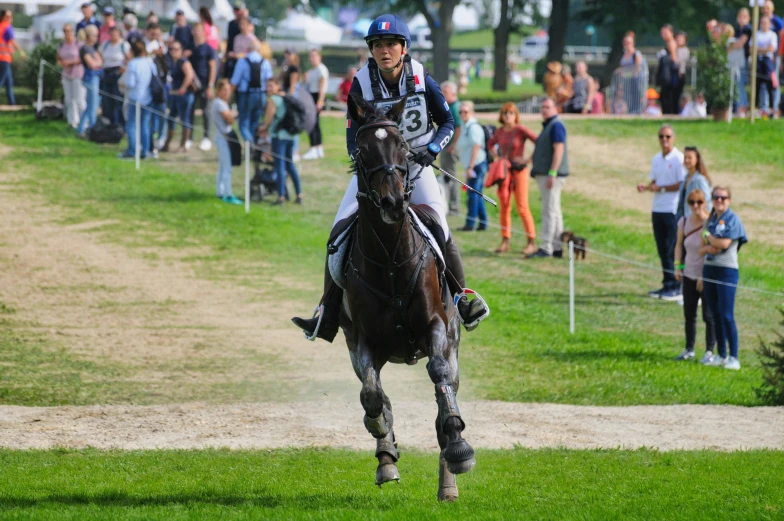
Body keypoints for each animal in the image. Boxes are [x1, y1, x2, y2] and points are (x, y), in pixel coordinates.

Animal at [336, 93, 472, 500]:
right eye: (363, 150)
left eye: (400, 145)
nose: (393, 202)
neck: (391, 259)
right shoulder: (361, 341)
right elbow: (372, 396)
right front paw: (384, 446)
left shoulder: (436, 327)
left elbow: (439, 380)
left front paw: (459, 446)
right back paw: (387, 455)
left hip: (453, 341)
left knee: (445, 394)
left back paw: (449, 480)